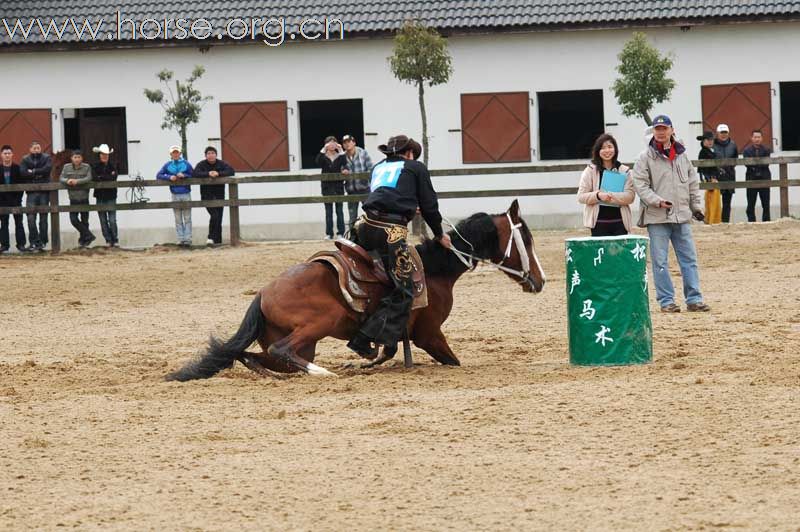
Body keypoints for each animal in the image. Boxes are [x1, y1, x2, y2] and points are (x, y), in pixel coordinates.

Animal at [166, 197, 548, 380]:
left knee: (253, 356)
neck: (436, 270)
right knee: (281, 351)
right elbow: (451, 360)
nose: (540, 281)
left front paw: (366, 361)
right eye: (526, 240)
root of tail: (263, 294)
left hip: (302, 343)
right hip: (320, 322)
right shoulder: (429, 334)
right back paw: (324, 373)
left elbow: (387, 353)